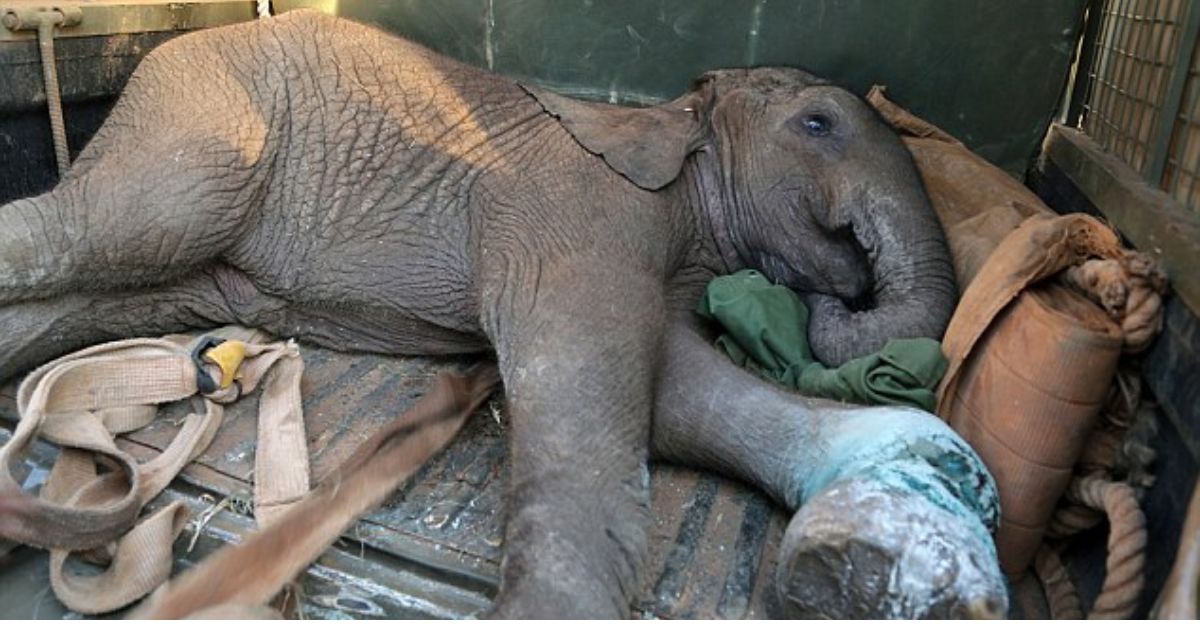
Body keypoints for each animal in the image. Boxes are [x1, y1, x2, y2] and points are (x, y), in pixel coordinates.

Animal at [0, 7, 1008, 614]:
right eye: (817, 125)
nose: (836, 301)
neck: (672, 123)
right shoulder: (575, 216)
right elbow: (590, 398)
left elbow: (675, 394)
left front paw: (890, 541)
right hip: (202, 132)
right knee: (97, 230)